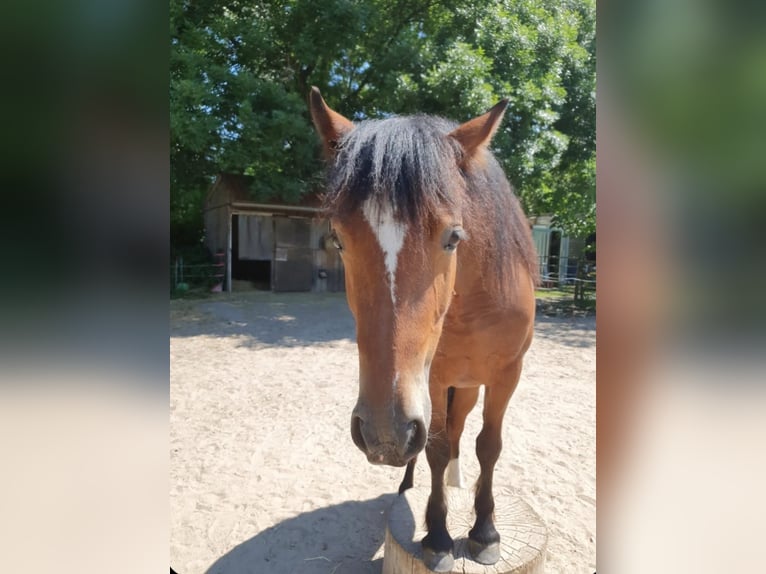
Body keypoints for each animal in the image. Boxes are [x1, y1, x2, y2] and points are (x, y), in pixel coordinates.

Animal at [308, 88, 536, 572]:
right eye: (338, 239)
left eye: (453, 237)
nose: (384, 434)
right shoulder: (432, 380)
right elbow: (435, 447)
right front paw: (437, 535)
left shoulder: (506, 374)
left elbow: (489, 445)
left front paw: (484, 532)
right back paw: (412, 484)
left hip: (464, 386)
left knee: (460, 430)